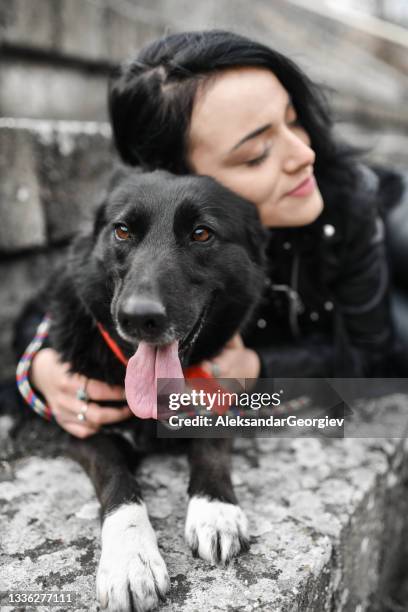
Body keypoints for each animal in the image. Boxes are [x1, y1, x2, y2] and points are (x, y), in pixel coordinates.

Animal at [45, 169, 268, 612]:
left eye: (201, 233)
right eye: (123, 231)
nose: (139, 318)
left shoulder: (222, 400)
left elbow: (211, 447)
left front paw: (214, 510)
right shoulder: (79, 425)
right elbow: (117, 479)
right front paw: (130, 558)